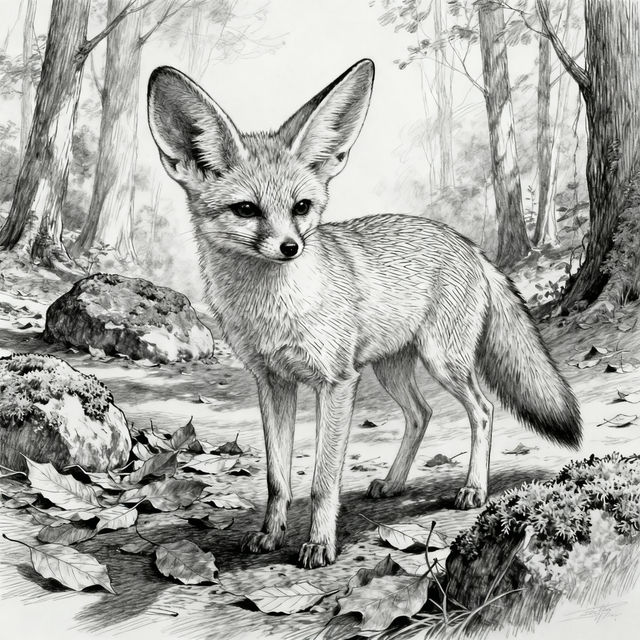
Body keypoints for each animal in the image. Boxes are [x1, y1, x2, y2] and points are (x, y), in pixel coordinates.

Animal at [147, 59, 581, 569]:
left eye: (301, 207)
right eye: (246, 209)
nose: (290, 248)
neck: (273, 311)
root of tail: (468, 245)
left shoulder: (337, 382)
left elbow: (322, 482)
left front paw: (319, 544)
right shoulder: (272, 383)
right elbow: (277, 479)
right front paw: (270, 535)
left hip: (442, 363)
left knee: (484, 410)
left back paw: (473, 488)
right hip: (391, 370)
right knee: (421, 415)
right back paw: (393, 483)